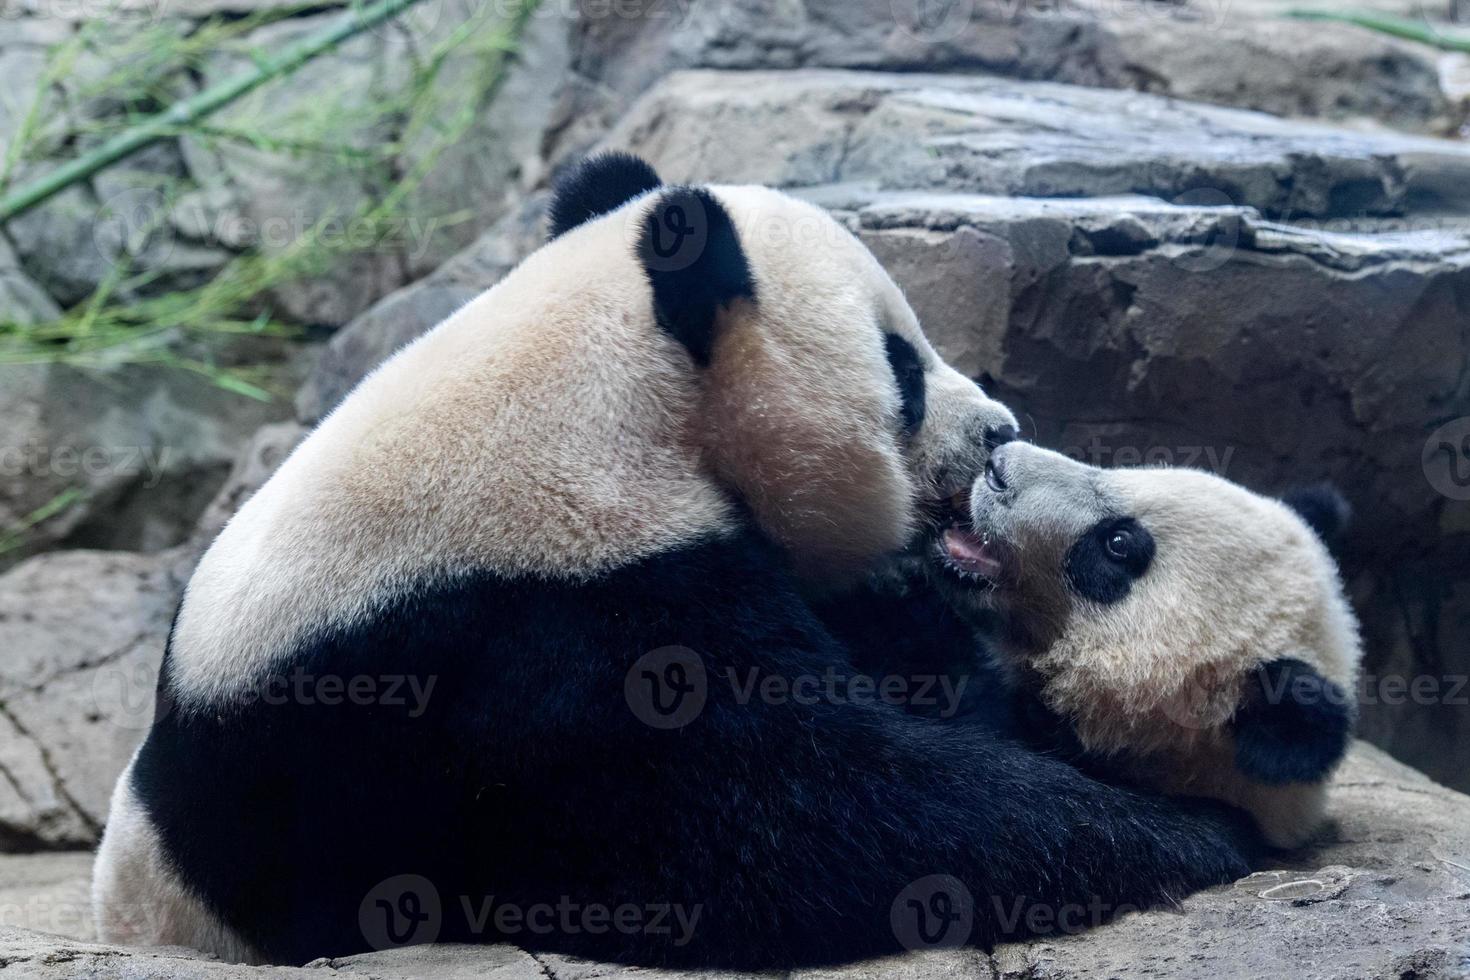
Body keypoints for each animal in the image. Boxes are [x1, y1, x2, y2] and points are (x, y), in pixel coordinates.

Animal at [94, 157, 1264, 969]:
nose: (998, 432)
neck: (595, 393)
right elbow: (796, 822)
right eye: (902, 368)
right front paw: (1199, 831)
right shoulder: (520, 640)